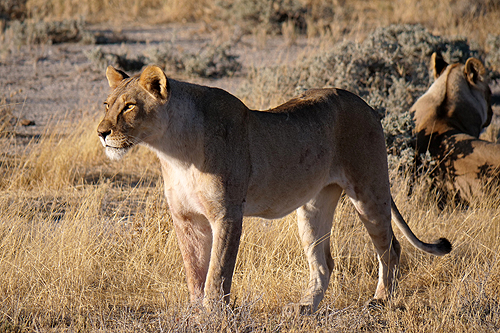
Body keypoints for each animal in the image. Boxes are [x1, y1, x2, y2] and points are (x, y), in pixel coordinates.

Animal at [96, 64, 450, 312]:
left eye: (129, 106)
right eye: (106, 104)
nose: (102, 132)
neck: (173, 150)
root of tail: (367, 105)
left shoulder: (227, 214)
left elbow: (217, 273)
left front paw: (215, 315)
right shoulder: (186, 218)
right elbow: (195, 271)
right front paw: (195, 313)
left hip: (369, 191)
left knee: (391, 248)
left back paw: (380, 301)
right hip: (313, 206)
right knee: (324, 263)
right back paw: (305, 308)